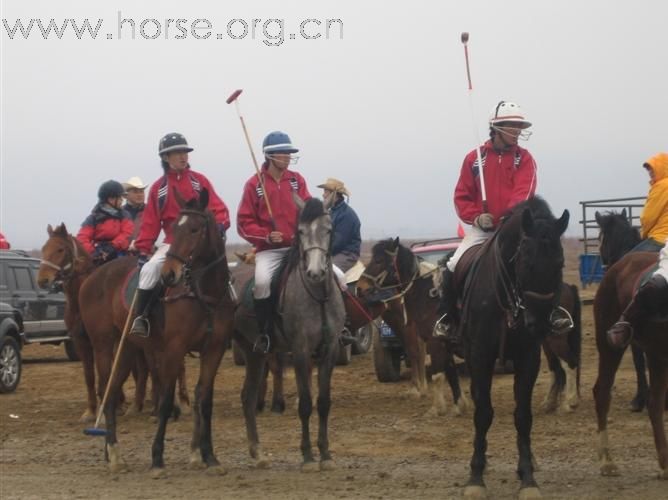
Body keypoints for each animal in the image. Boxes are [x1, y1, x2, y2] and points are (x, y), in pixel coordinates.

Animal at [81, 189, 235, 474]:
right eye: (174, 228)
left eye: (195, 229)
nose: (169, 275)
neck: (203, 294)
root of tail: (93, 277)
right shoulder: (174, 349)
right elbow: (164, 400)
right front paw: (157, 458)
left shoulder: (214, 349)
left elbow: (204, 399)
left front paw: (209, 457)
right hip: (104, 345)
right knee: (106, 390)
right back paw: (114, 454)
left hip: (127, 348)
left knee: (113, 390)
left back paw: (110, 451)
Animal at [237, 197, 344, 470]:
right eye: (301, 231)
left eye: (329, 229)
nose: (315, 272)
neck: (318, 296)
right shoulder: (300, 351)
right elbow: (305, 404)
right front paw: (307, 456)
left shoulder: (329, 350)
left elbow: (324, 403)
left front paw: (325, 454)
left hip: (254, 353)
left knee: (247, 397)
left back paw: (257, 452)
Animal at [460, 197, 568, 498]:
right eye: (527, 262)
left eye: (560, 263)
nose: (540, 324)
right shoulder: (481, 357)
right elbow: (483, 413)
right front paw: (475, 476)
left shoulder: (528, 358)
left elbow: (523, 416)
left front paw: (528, 477)